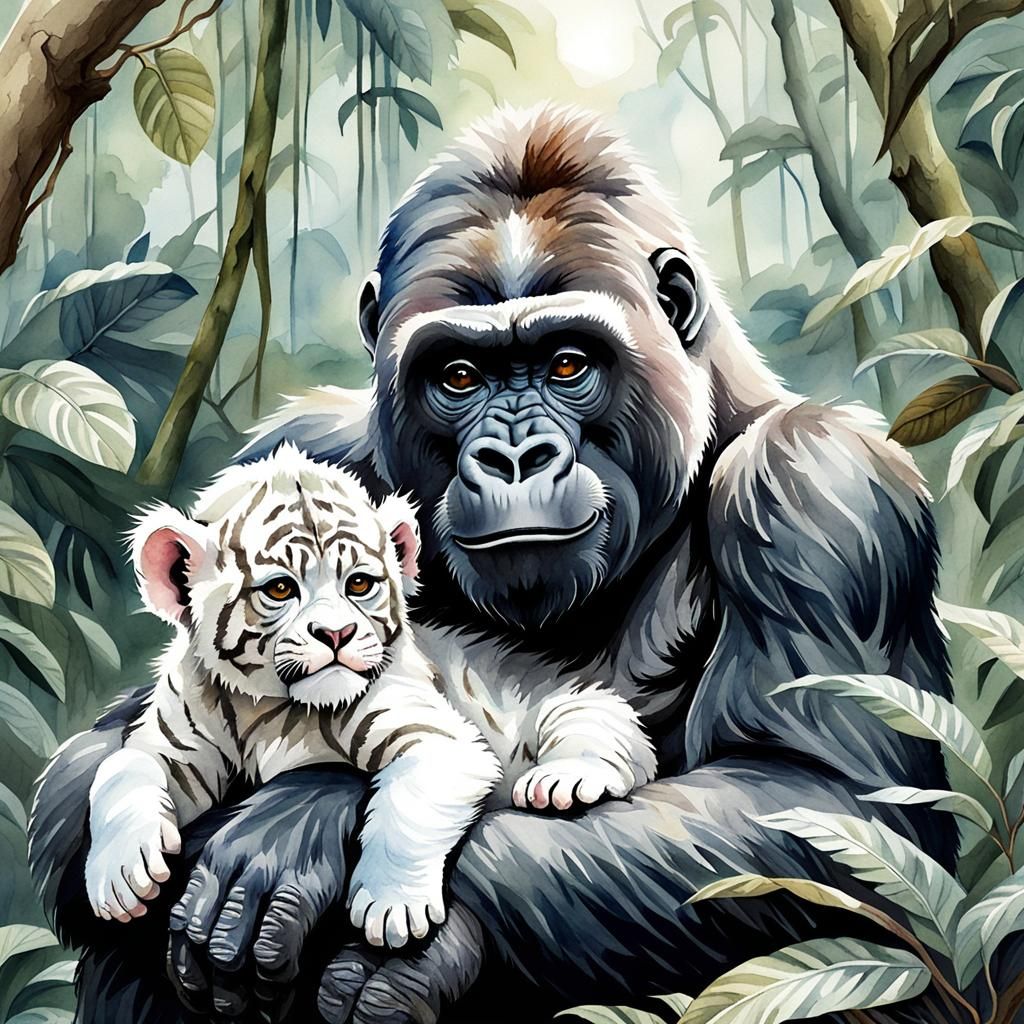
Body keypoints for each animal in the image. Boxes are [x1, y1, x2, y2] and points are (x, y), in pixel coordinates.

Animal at [85, 443, 657, 949]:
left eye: (359, 584)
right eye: (279, 589)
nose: (336, 634)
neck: (267, 708)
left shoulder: (436, 738)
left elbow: (408, 805)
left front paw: (391, 906)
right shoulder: (175, 746)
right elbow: (121, 769)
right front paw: (120, 876)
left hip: (572, 703)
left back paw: (560, 781)